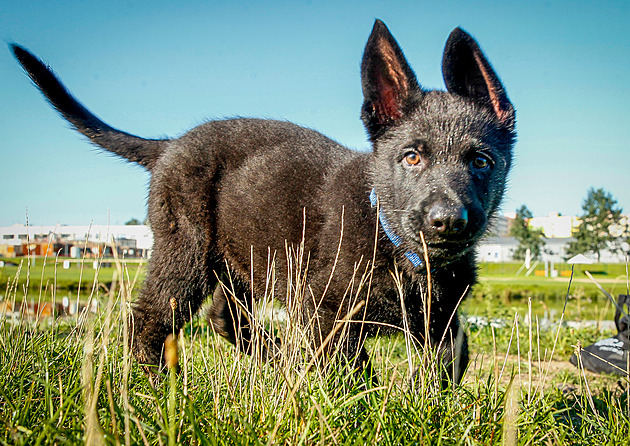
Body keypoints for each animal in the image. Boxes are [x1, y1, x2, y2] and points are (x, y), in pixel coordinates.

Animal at [12, 20, 516, 384]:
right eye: (411, 157)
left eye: (482, 161)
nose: (447, 221)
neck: (399, 246)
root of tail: (170, 144)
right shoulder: (323, 310)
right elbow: (351, 369)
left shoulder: (442, 318)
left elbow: (451, 360)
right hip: (187, 252)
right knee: (151, 318)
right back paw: (156, 383)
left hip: (245, 259)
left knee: (224, 317)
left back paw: (275, 357)